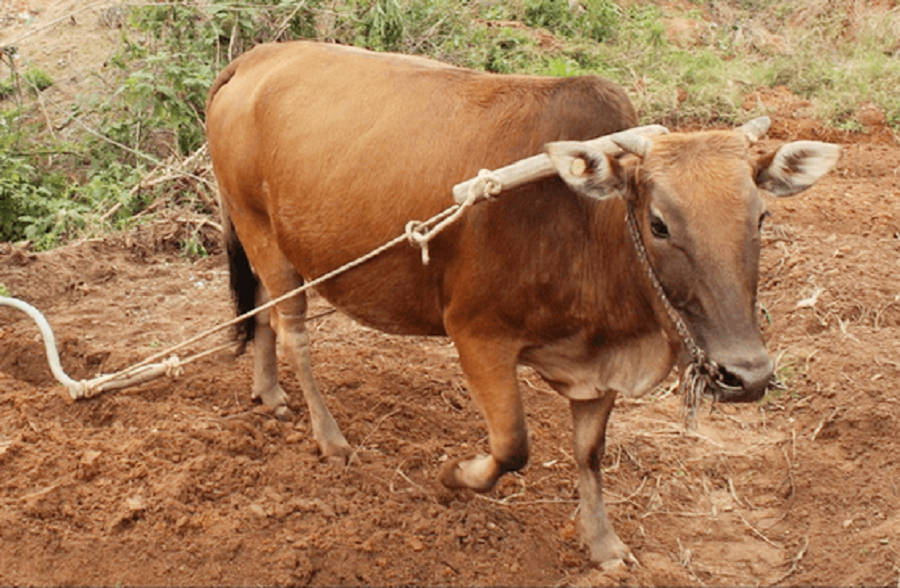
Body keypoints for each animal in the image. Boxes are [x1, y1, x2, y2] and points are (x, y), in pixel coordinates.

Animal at [207, 41, 840, 564]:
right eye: (659, 224)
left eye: (761, 215)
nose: (747, 375)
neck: (586, 226)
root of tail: (255, 59)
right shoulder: (477, 336)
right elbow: (512, 445)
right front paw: (454, 476)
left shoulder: (598, 367)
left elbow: (589, 453)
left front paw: (603, 545)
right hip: (264, 234)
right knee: (292, 329)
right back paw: (330, 438)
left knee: (259, 310)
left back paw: (269, 394)